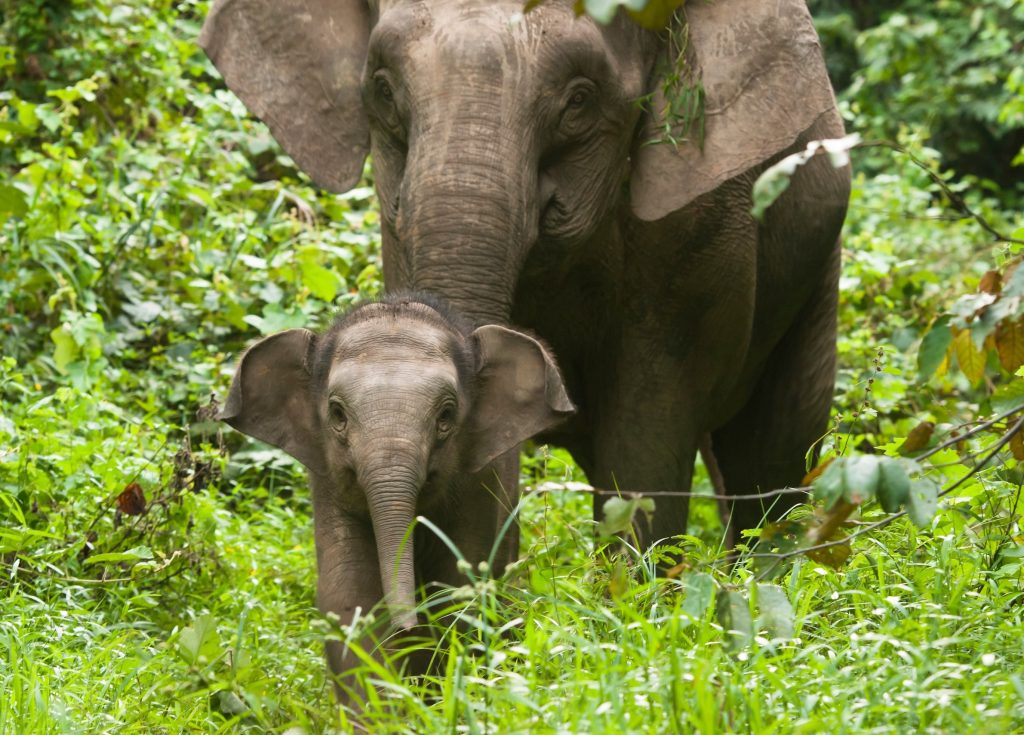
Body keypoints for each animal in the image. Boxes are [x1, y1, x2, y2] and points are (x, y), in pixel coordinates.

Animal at [219, 295, 573, 701]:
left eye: (446, 416)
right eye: (337, 414)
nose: (407, 625)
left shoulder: (477, 484)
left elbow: (458, 589)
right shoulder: (329, 486)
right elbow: (348, 593)